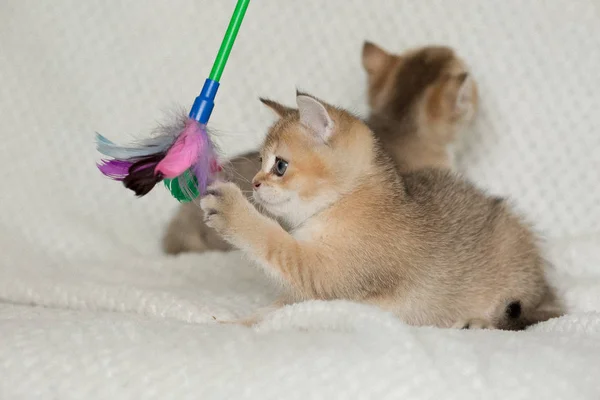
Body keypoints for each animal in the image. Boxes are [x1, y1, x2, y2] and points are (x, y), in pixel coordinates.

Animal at [202, 92, 564, 330]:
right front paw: (233, 321)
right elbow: (273, 309)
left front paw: (231, 208)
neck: (347, 200)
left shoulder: (326, 274)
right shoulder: (305, 291)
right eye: (260, 161)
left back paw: (473, 322)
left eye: (279, 166)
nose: (254, 182)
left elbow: (274, 242)